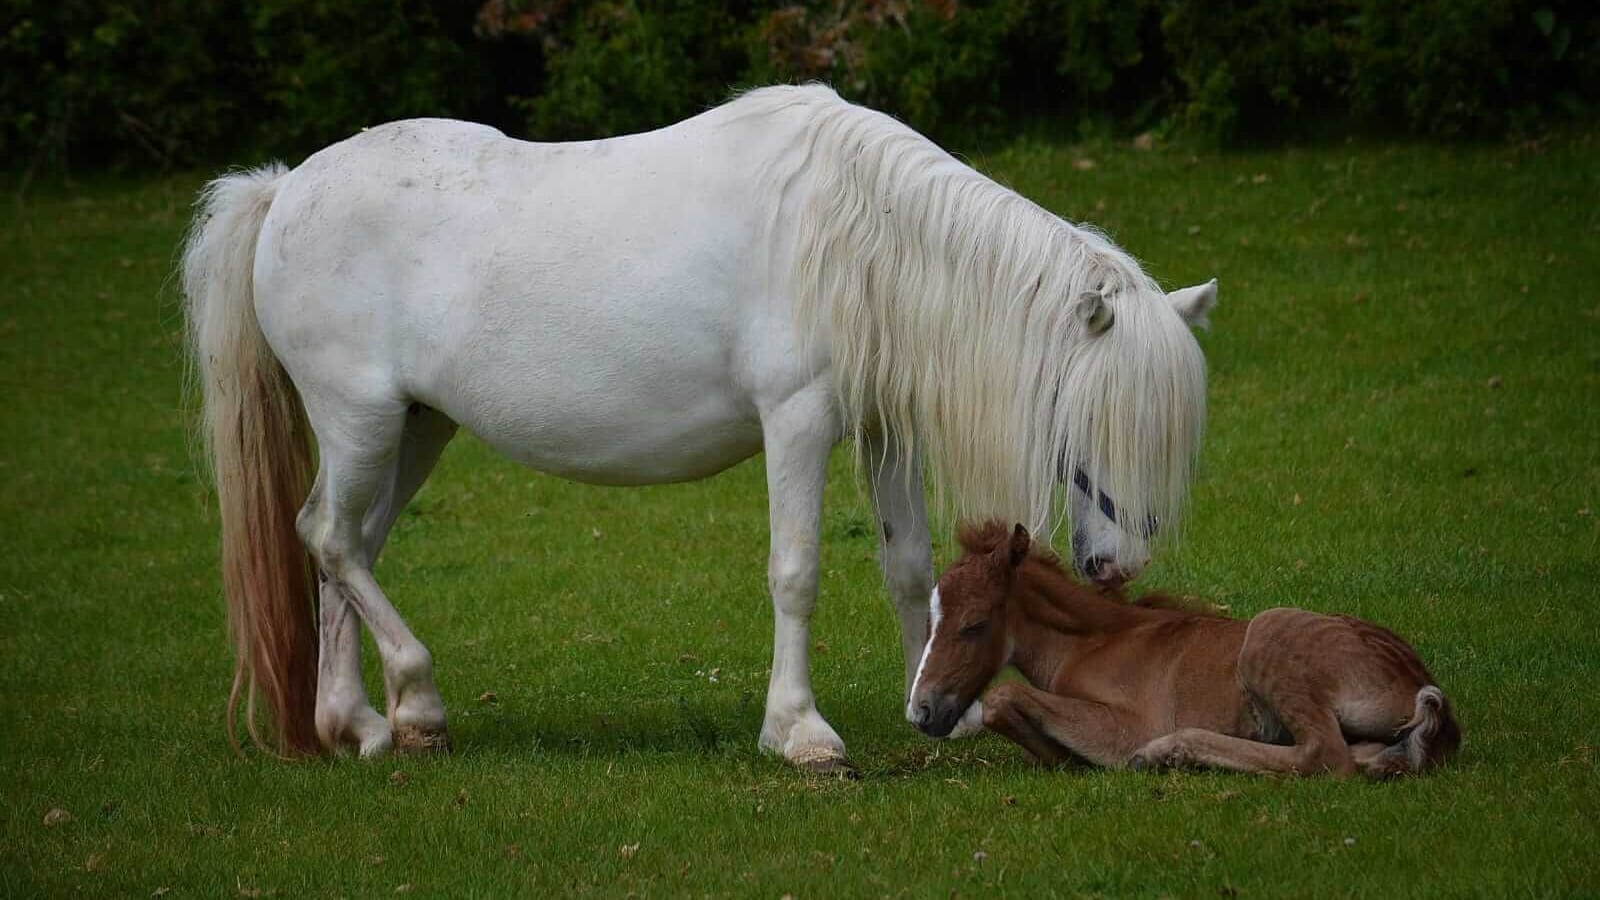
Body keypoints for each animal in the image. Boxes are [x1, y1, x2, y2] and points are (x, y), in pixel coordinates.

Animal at [182, 84, 1218, 770]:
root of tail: (283, 191)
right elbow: (796, 572)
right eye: (1098, 415)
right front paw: (800, 733)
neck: (856, 231)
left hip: (413, 429)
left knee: (345, 547)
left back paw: (358, 724)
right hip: (360, 421)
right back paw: (417, 700)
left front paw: (941, 710)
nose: (1118, 566)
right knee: (329, 538)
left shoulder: (883, 431)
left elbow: (908, 568)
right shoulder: (797, 422)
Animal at [908, 522, 1460, 777]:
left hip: (1269, 632)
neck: (1092, 643)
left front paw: (1071, 755)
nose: (921, 711)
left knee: (1325, 756)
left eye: (975, 625)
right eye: (929, 621)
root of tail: (1419, 683)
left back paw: (1167, 751)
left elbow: (1001, 698)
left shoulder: (1129, 722)